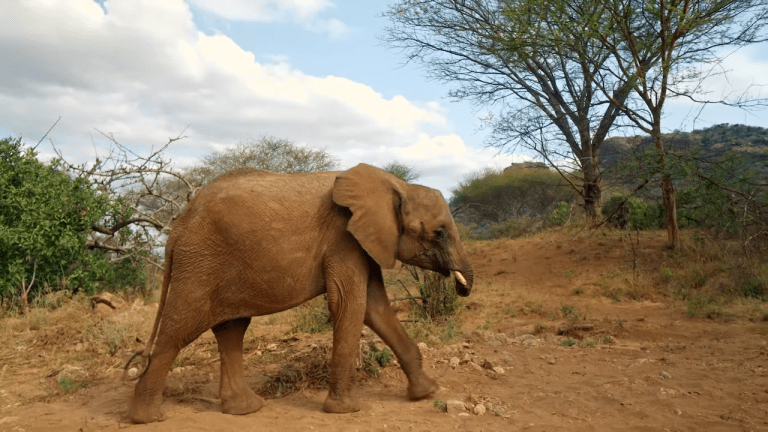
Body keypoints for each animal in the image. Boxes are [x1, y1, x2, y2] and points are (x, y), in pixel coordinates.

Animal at [127, 163, 474, 424]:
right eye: (439, 233)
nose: (461, 288)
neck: (397, 185)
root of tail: (178, 225)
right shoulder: (343, 238)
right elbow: (350, 304)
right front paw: (345, 411)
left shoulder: (365, 242)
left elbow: (375, 308)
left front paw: (427, 393)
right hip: (199, 264)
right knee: (179, 330)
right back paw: (147, 418)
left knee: (231, 330)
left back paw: (246, 409)